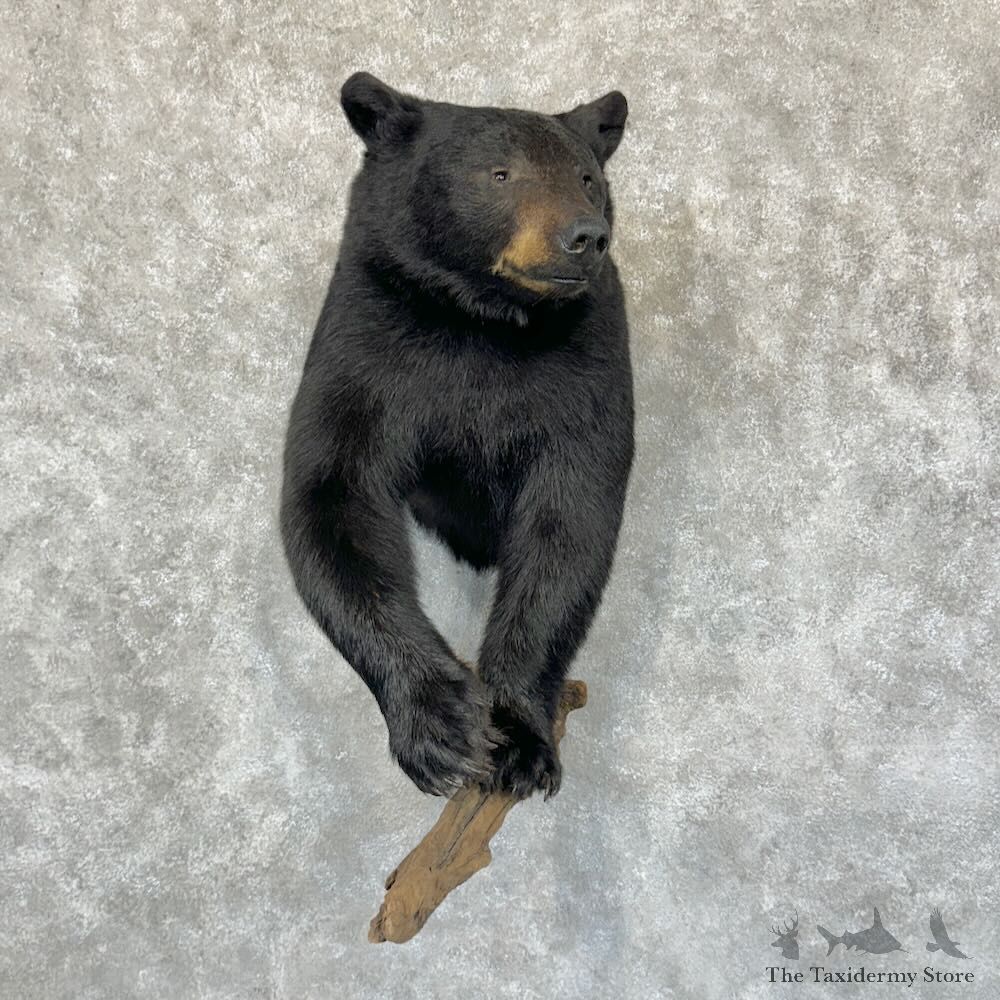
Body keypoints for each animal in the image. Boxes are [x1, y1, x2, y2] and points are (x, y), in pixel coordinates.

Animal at [280, 72, 634, 801]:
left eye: (588, 177)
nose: (585, 236)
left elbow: (569, 520)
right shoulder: (369, 349)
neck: (485, 320)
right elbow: (334, 494)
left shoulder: (588, 365)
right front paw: (441, 727)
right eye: (499, 173)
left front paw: (521, 738)